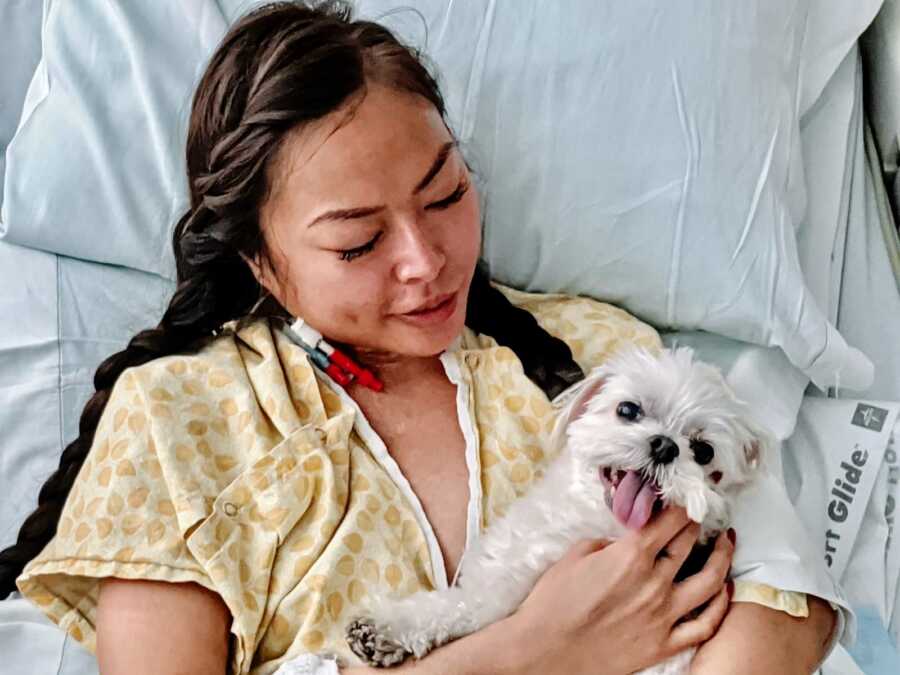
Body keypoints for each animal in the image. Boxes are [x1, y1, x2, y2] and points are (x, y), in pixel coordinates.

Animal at [348, 346, 768, 672]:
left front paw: (387, 628)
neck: (592, 521)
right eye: (628, 409)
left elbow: (460, 606)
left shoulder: (505, 593)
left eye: (703, 451)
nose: (665, 446)